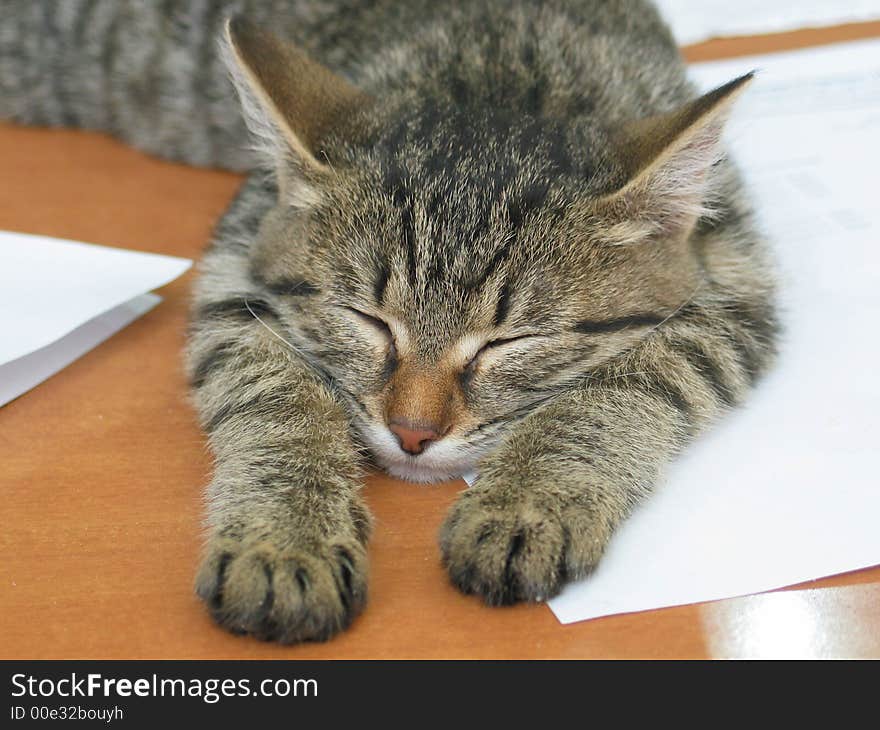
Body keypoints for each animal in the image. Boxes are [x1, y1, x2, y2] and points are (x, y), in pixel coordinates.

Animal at [3, 1, 780, 644]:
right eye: (367, 321)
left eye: (509, 342)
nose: (412, 433)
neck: (493, 71)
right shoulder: (235, 267)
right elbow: (277, 400)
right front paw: (286, 536)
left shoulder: (736, 284)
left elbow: (621, 390)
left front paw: (529, 499)